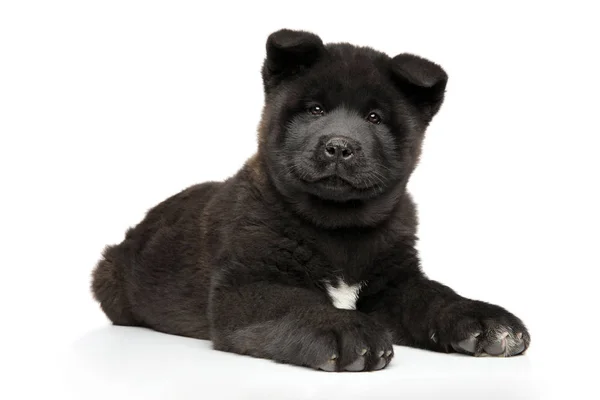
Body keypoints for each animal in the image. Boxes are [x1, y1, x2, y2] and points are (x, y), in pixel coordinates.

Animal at [91, 28, 528, 372]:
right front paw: (344, 328)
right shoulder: (245, 286)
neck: (341, 230)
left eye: (374, 118)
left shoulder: (395, 282)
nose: (339, 146)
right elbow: (295, 301)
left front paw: (485, 319)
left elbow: (435, 295)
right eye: (315, 109)